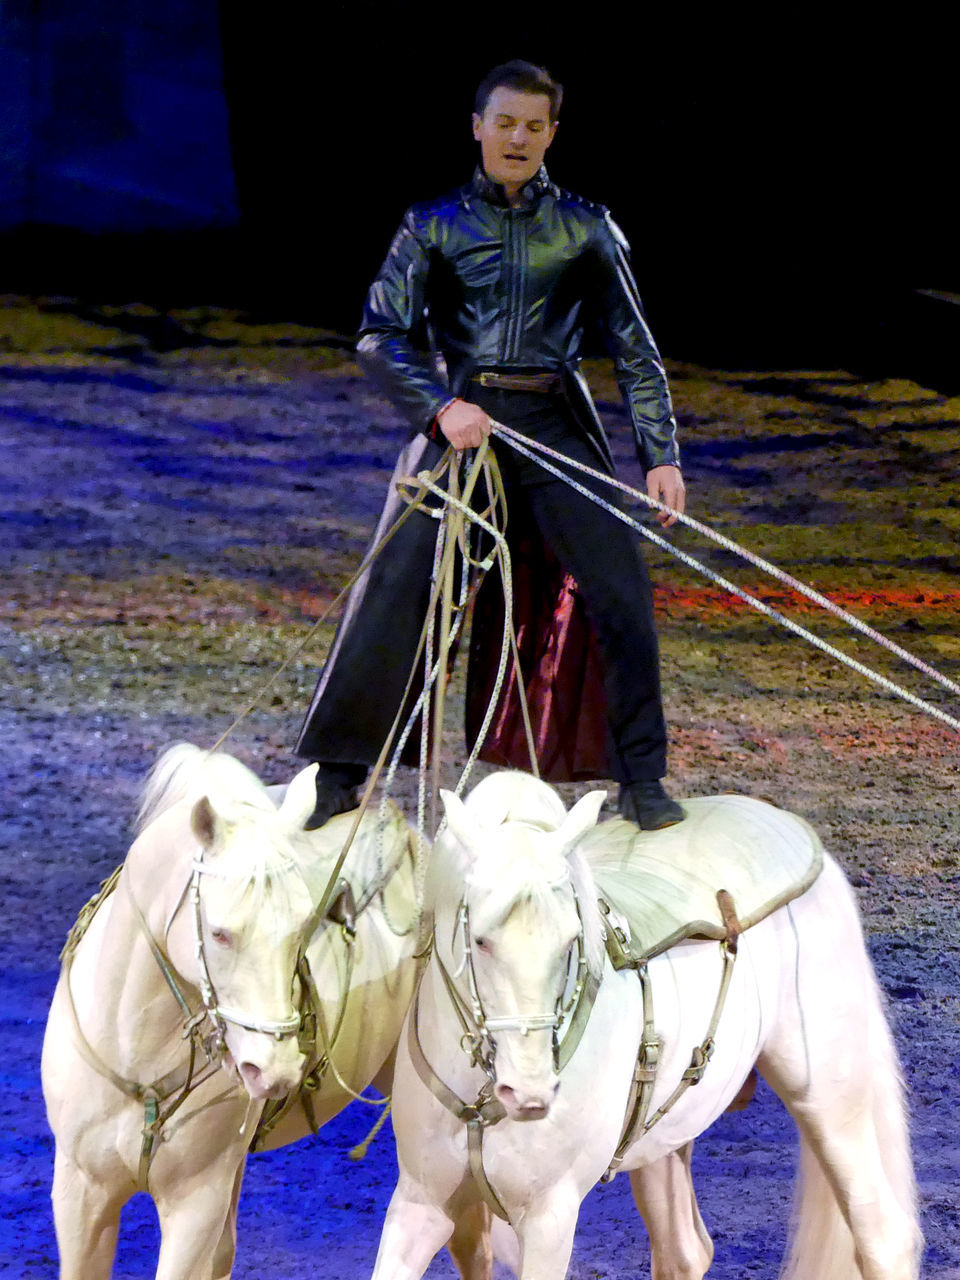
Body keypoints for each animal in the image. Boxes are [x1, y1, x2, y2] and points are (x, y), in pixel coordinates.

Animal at [371, 768, 926, 1280]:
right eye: (480, 940)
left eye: (571, 938)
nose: (529, 1093)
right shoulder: (421, 1204)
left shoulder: (549, 1220)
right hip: (666, 1138)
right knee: (685, 1251)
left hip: (828, 1099)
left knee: (881, 1235)